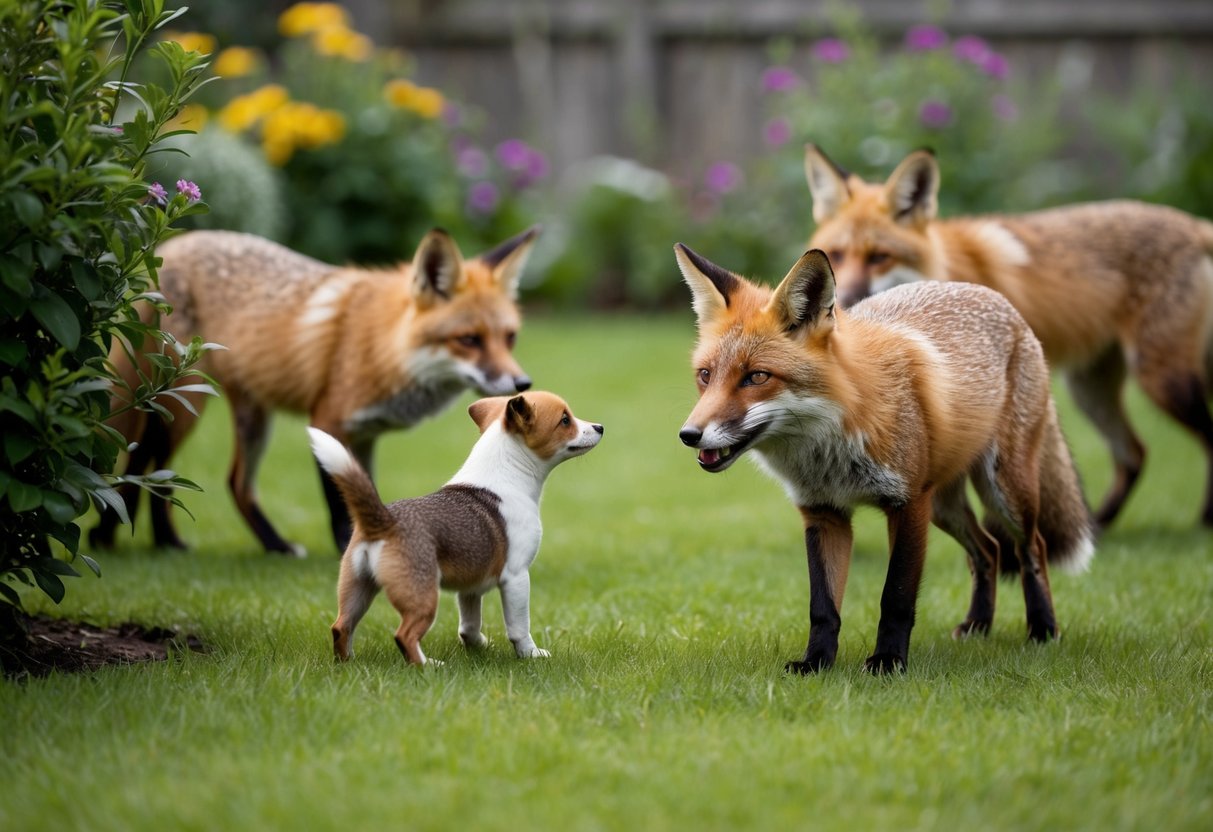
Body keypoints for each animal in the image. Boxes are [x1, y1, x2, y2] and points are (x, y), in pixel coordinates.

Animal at [90, 226, 539, 557]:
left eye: (510, 337)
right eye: (469, 340)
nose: (522, 385)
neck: (384, 346)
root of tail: (166, 247)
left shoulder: (366, 434)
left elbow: (364, 491)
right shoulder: (327, 421)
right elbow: (339, 502)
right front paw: (349, 549)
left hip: (245, 415)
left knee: (229, 482)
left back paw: (265, 545)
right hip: (183, 404)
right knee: (149, 465)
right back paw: (134, 538)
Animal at [675, 243, 1094, 673]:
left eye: (757, 377)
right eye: (705, 375)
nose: (689, 435)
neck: (831, 448)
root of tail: (1001, 301)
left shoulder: (907, 504)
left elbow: (896, 597)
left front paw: (888, 661)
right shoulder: (823, 513)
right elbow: (823, 606)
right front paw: (816, 663)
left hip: (1004, 490)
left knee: (1032, 548)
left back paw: (1042, 628)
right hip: (943, 506)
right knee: (988, 549)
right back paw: (978, 624)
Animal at [804, 144, 1213, 530]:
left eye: (879, 257)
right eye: (837, 255)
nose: (843, 300)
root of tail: (1192, 223)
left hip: (1161, 379)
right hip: (1089, 390)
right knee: (1134, 454)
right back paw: (1097, 527)